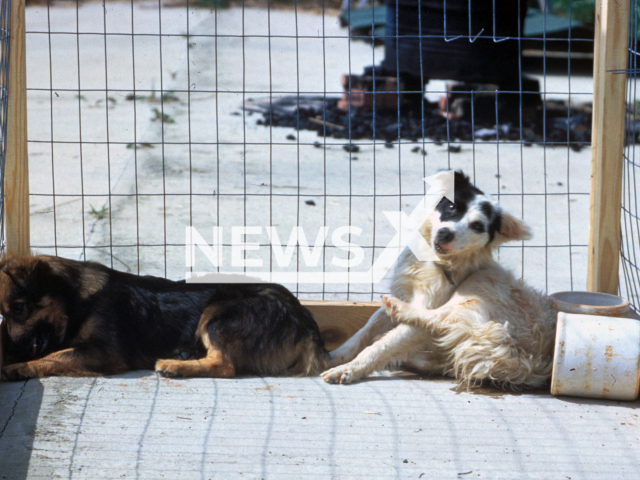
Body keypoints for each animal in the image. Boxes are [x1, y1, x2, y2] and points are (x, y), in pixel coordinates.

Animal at [0, 256, 328, 380]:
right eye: (3, 313)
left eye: (19, 308)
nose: (9, 348)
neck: (76, 299)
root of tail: (306, 321)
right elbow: (57, 351)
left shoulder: (105, 352)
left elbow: (56, 355)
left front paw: (18, 367)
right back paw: (183, 356)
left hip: (217, 315)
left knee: (225, 366)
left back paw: (175, 365)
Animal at [322, 171, 556, 388]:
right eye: (451, 206)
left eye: (478, 226)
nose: (445, 233)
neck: (435, 262)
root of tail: (529, 362)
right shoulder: (402, 293)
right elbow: (364, 330)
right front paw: (336, 356)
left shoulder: (421, 317)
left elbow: (382, 346)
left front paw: (348, 369)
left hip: (479, 286)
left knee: (438, 319)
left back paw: (398, 310)